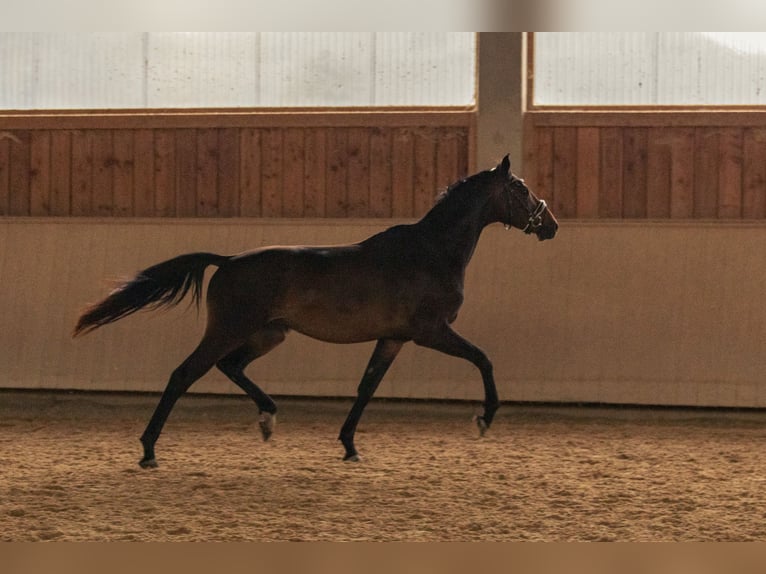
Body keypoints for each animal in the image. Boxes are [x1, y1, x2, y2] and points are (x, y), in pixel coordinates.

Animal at [73, 155, 560, 470]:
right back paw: (149, 451)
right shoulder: (431, 331)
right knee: (184, 374)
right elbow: (484, 359)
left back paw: (268, 417)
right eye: (520, 188)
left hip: (269, 334)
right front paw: (484, 418)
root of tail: (226, 261)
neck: (432, 251)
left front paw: (349, 446)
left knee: (231, 367)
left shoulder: (394, 337)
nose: (551, 224)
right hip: (230, 329)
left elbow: (366, 388)